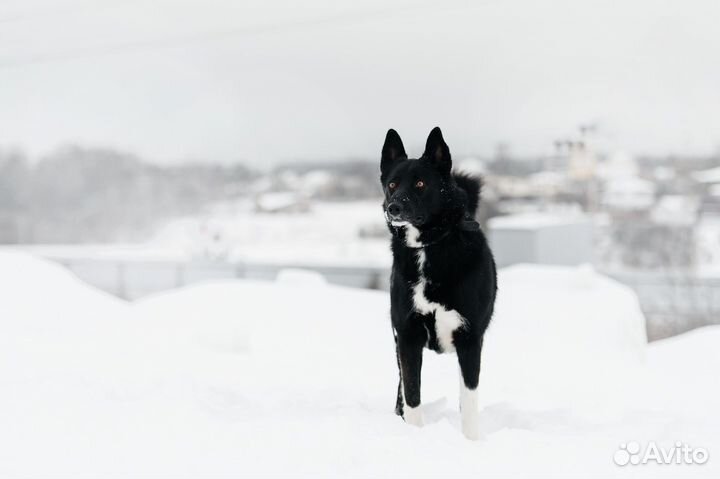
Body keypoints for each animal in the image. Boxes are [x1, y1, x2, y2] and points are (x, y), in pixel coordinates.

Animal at [382, 126, 496, 438]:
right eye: (392, 184)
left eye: (420, 183)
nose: (393, 208)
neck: (429, 247)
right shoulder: (407, 336)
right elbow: (412, 394)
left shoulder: (470, 340)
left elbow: (469, 400)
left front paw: (470, 441)